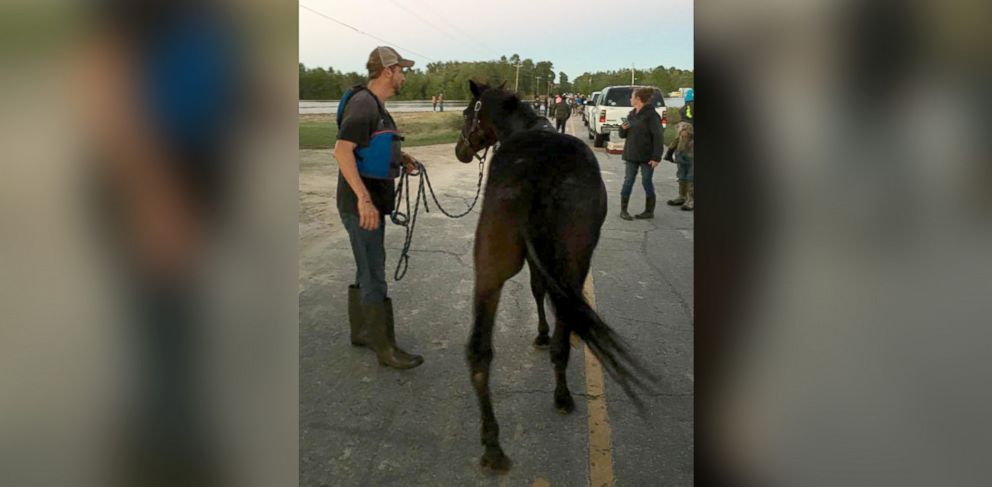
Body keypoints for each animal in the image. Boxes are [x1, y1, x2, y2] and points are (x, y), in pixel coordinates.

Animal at [454, 80, 656, 472]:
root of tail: (537, 175)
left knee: (480, 350)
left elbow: (536, 290)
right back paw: (558, 397)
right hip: (570, 264)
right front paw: (543, 334)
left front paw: (541, 334)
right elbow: (538, 292)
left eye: (468, 113)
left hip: (494, 267)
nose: (460, 151)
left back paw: (494, 443)